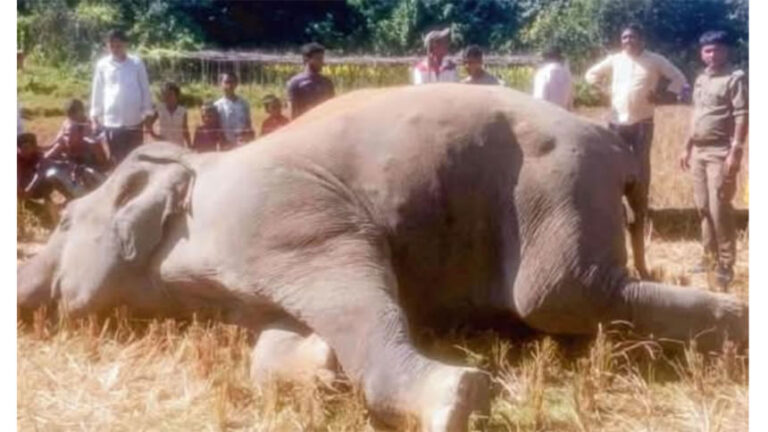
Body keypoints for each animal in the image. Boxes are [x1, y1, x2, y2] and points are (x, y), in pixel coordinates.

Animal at [18, 84, 747, 431]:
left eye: (64, 220)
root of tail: (616, 144)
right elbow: (272, 341)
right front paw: (319, 372)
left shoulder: (289, 214)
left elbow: (357, 288)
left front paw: (458, 401)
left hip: (556, 180)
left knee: (560, 296)